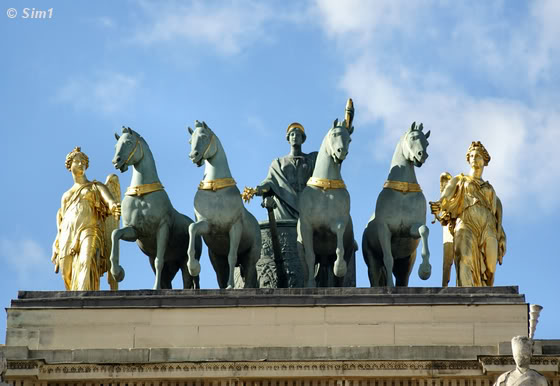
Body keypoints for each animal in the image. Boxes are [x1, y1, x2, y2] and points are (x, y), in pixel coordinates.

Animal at [110, 126, 202, 290]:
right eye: (116, 146)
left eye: (128, 142)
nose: (116, 162)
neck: (141, 194)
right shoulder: (134, 231)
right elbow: (115, 233)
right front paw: (117, 273)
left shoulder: (162, 228)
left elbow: (160, 260)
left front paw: (155, 288)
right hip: (173, 263)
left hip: (186, 259)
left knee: (191, 279)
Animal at [186, 119, 260, 288]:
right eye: (190, 141)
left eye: (204, 136)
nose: (193, 156)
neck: (215, 189)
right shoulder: (207, 225)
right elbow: (192, 227)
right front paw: (193, 267)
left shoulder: (235, 227)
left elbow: (231, 256)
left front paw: (231, 285)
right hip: (215, 258)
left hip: (252, 255)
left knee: (250, 274)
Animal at [298, 119, 354, 288]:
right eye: (335, 134)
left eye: (350, 139)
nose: (341, 152)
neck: (325, 187)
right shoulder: (307, 227)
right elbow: (310, 256)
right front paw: (310, 285)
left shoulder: (339, 222)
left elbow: (339, 244)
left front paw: (339, 267)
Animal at [364, 121, 434, 286]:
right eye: (413, 137)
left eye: (427, 142)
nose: (422, 155)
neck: (403, 192)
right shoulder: (384, 230)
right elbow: (388, 259)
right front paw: (389, 286)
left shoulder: (411, 229)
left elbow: (424, 230)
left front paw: (425, 271)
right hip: (372, 260)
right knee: (375, 276)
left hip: (405, 264)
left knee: (403, 280)